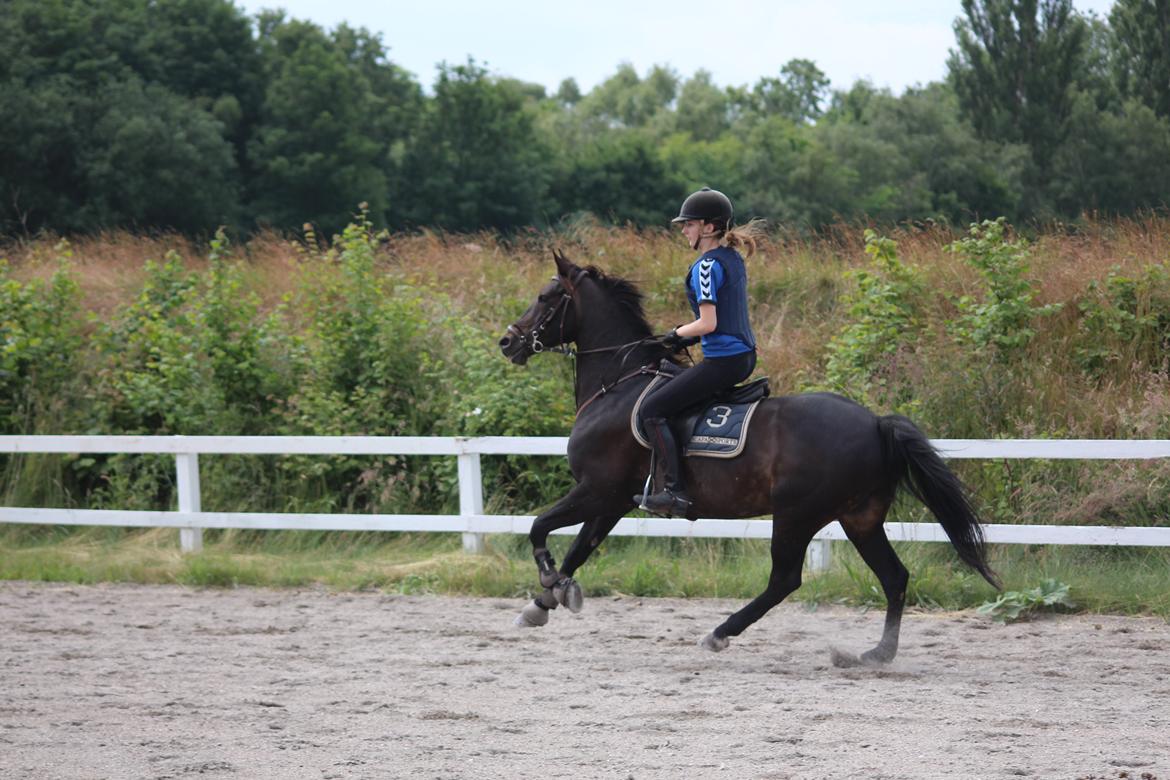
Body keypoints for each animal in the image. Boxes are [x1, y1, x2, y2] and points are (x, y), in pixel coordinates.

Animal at [493, 251, 996, 664]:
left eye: (544, 297)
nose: (508, 342)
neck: (618, 384)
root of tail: (875, 423)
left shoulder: (598, 488)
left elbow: (539, 527)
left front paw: (549, 585)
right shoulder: (614, 499)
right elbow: (581, 547)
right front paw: (543, 603)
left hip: (797, 514)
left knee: (785, 580)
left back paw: (719, 634)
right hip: (860, 517)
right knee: (894, 577)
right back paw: (875, 654)